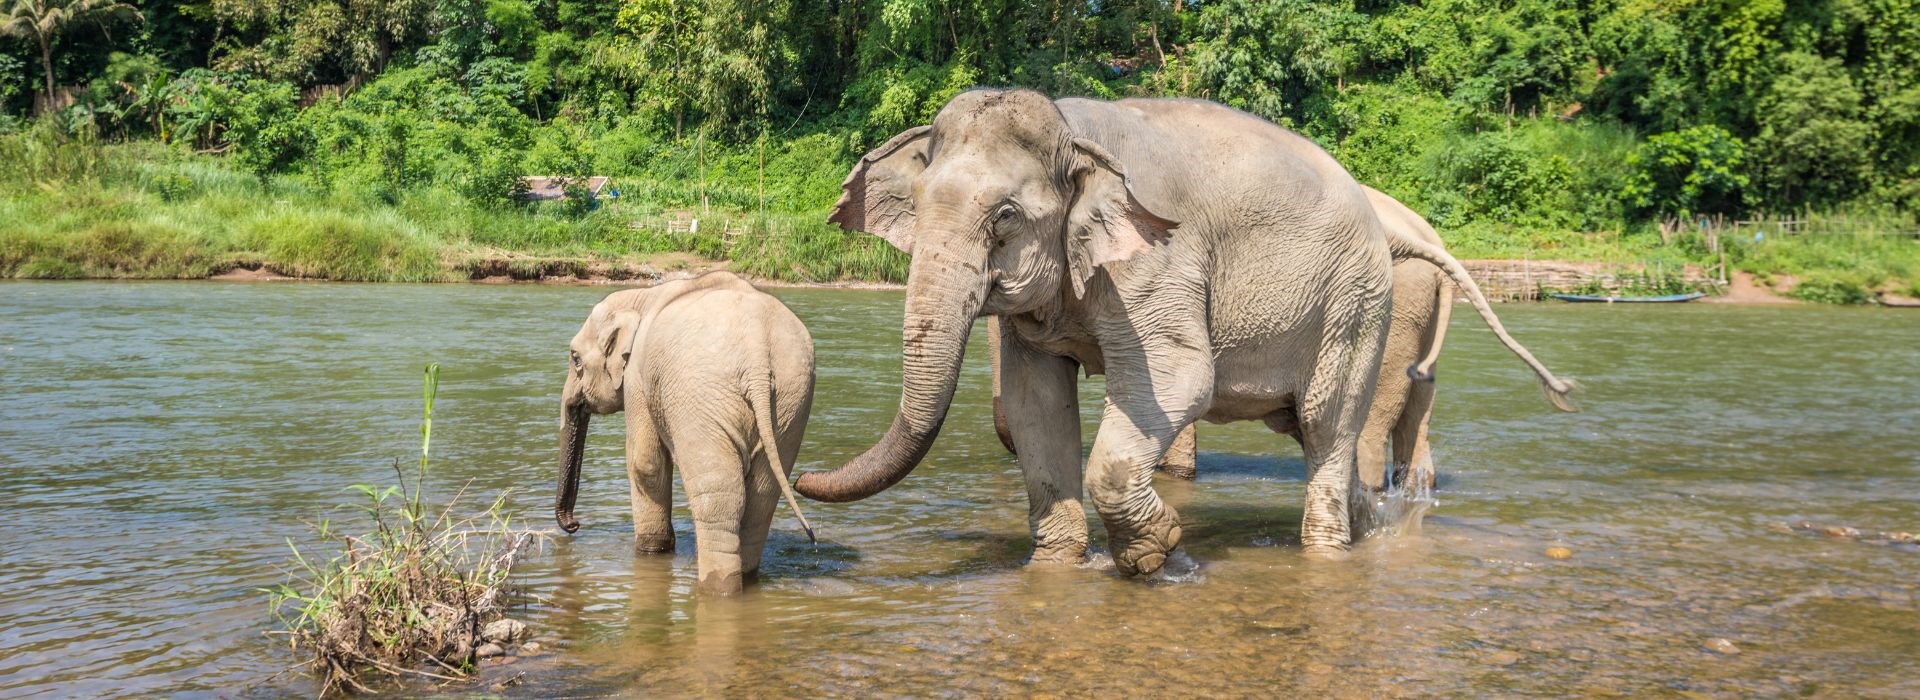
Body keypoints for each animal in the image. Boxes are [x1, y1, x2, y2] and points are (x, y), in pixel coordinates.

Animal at [552, 270, 814, 590]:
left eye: (575, 358)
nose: (574, 525)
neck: (641, 297)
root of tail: (757, 358)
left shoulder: (637, 376)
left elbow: (644, 463)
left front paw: (651, 550)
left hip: (701, 396)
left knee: (719, 495)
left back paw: (717, 587)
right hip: (791, 400)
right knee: (762, 496)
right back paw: (746, 578)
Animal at [787, 88, 1566, 571]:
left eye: (1005, 216)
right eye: (917, 208)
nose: (801, 473)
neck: (1073, 131)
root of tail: (1396, 229)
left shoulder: (1159, 261)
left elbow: (1176, 378)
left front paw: (1156, 551)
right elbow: (1037, 401)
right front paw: (1058, 568)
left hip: (1357, 303)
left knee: (1330, 423)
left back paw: (1328, 550)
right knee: (1329, 435)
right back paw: (1371, 526)